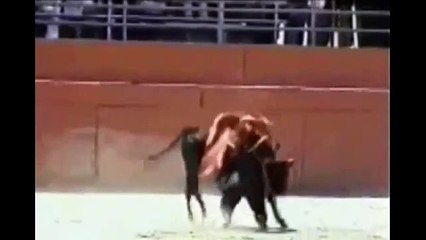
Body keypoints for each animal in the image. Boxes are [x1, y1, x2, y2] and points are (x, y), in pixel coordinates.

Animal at [147, 126, 292, 230]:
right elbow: (228, 203)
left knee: (191, 189)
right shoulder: (235, 189)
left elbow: (272, 200)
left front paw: (282, 222)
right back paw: (198, 213)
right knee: (191, 188)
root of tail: (188, 133)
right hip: (192, 166)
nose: (263, 221)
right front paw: (226, 221)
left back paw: (199, 213)